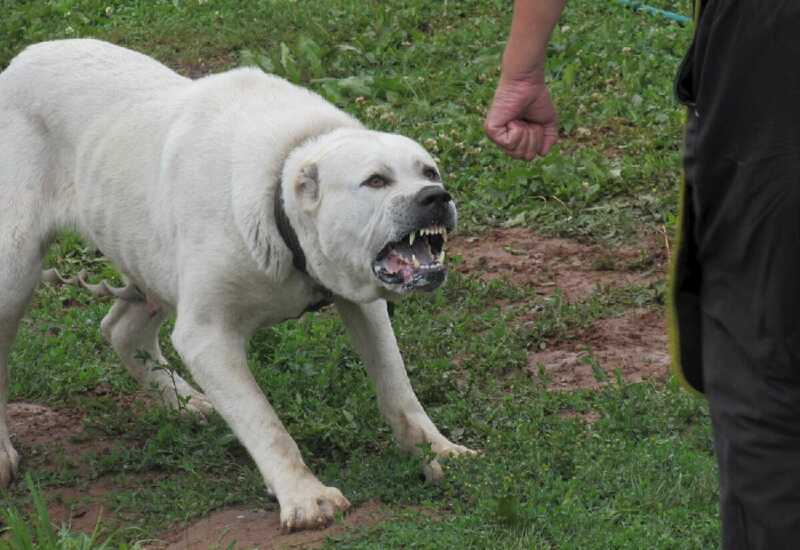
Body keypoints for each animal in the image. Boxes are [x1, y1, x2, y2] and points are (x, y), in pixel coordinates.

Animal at [0, 41, 476, 532]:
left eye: (430, 172)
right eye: (375, 181)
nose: (436, 197)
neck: (281, 202)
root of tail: (20, 61)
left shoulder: (364, 305)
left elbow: (398, 387)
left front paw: (439, 450)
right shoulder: (207, 336)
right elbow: (265, 423)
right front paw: (304, 496)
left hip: (150, 257)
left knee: (121, 329)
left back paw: (185, 402)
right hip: (13, 270)